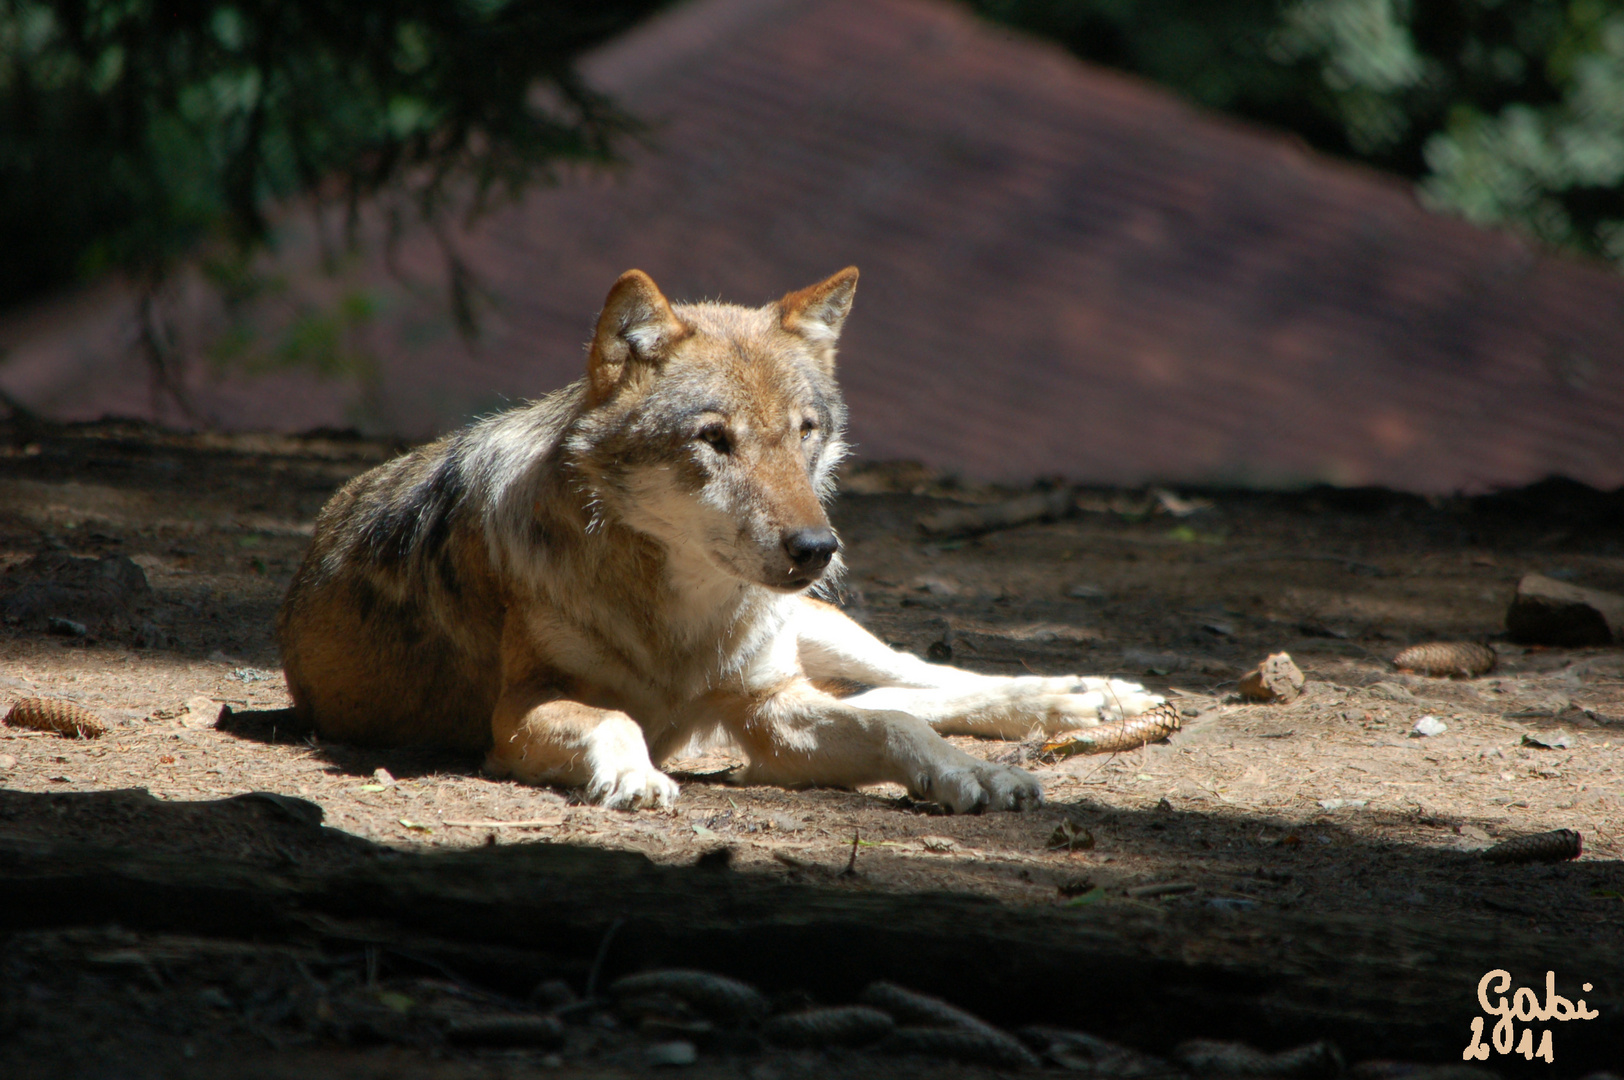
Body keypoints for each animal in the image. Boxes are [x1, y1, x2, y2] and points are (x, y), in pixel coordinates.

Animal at [282, 267, 1169, 808]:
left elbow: (899, 726)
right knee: (897, 692)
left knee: (924, 682)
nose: (817, 549)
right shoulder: (519, 711)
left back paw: (1086, 698)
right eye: (716, 440)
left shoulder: (767, 706)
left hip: (817, 628)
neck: (680, 620)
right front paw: (633, 775)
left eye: (806, 432)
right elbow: (615, 719)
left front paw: (969, 775)